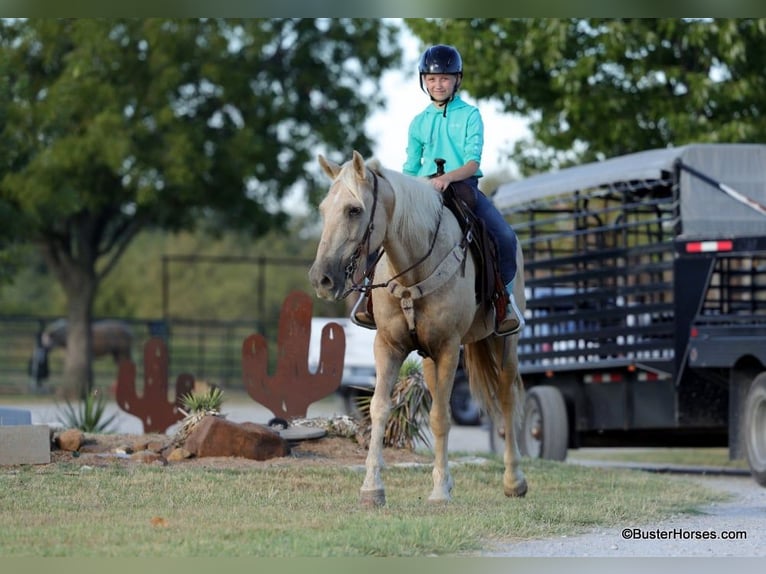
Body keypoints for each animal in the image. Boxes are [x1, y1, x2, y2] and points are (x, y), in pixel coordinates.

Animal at [308, 151, 528, 506]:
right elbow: (379, 409)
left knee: (507, 397)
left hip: (505, 342)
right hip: (427, 359)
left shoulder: (450, 348)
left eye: (354, 210)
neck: (414, 268)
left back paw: (514, 480)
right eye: (323, 209)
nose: (321, 279)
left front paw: (438, 492)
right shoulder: (388, 346)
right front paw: (372, 488)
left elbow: (440, 417)